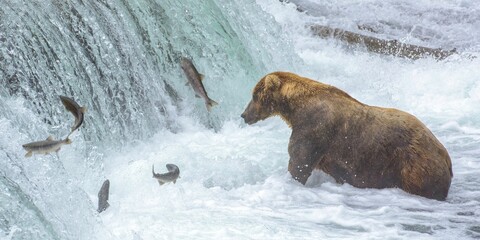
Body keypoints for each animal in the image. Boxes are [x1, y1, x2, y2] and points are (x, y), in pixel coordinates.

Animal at [242, 71, 452, 201]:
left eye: (253, 95)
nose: (244, 115)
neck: (295, 108)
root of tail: (446, 158)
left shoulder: (313, 130)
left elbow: (299, 162)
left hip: (413, 166)